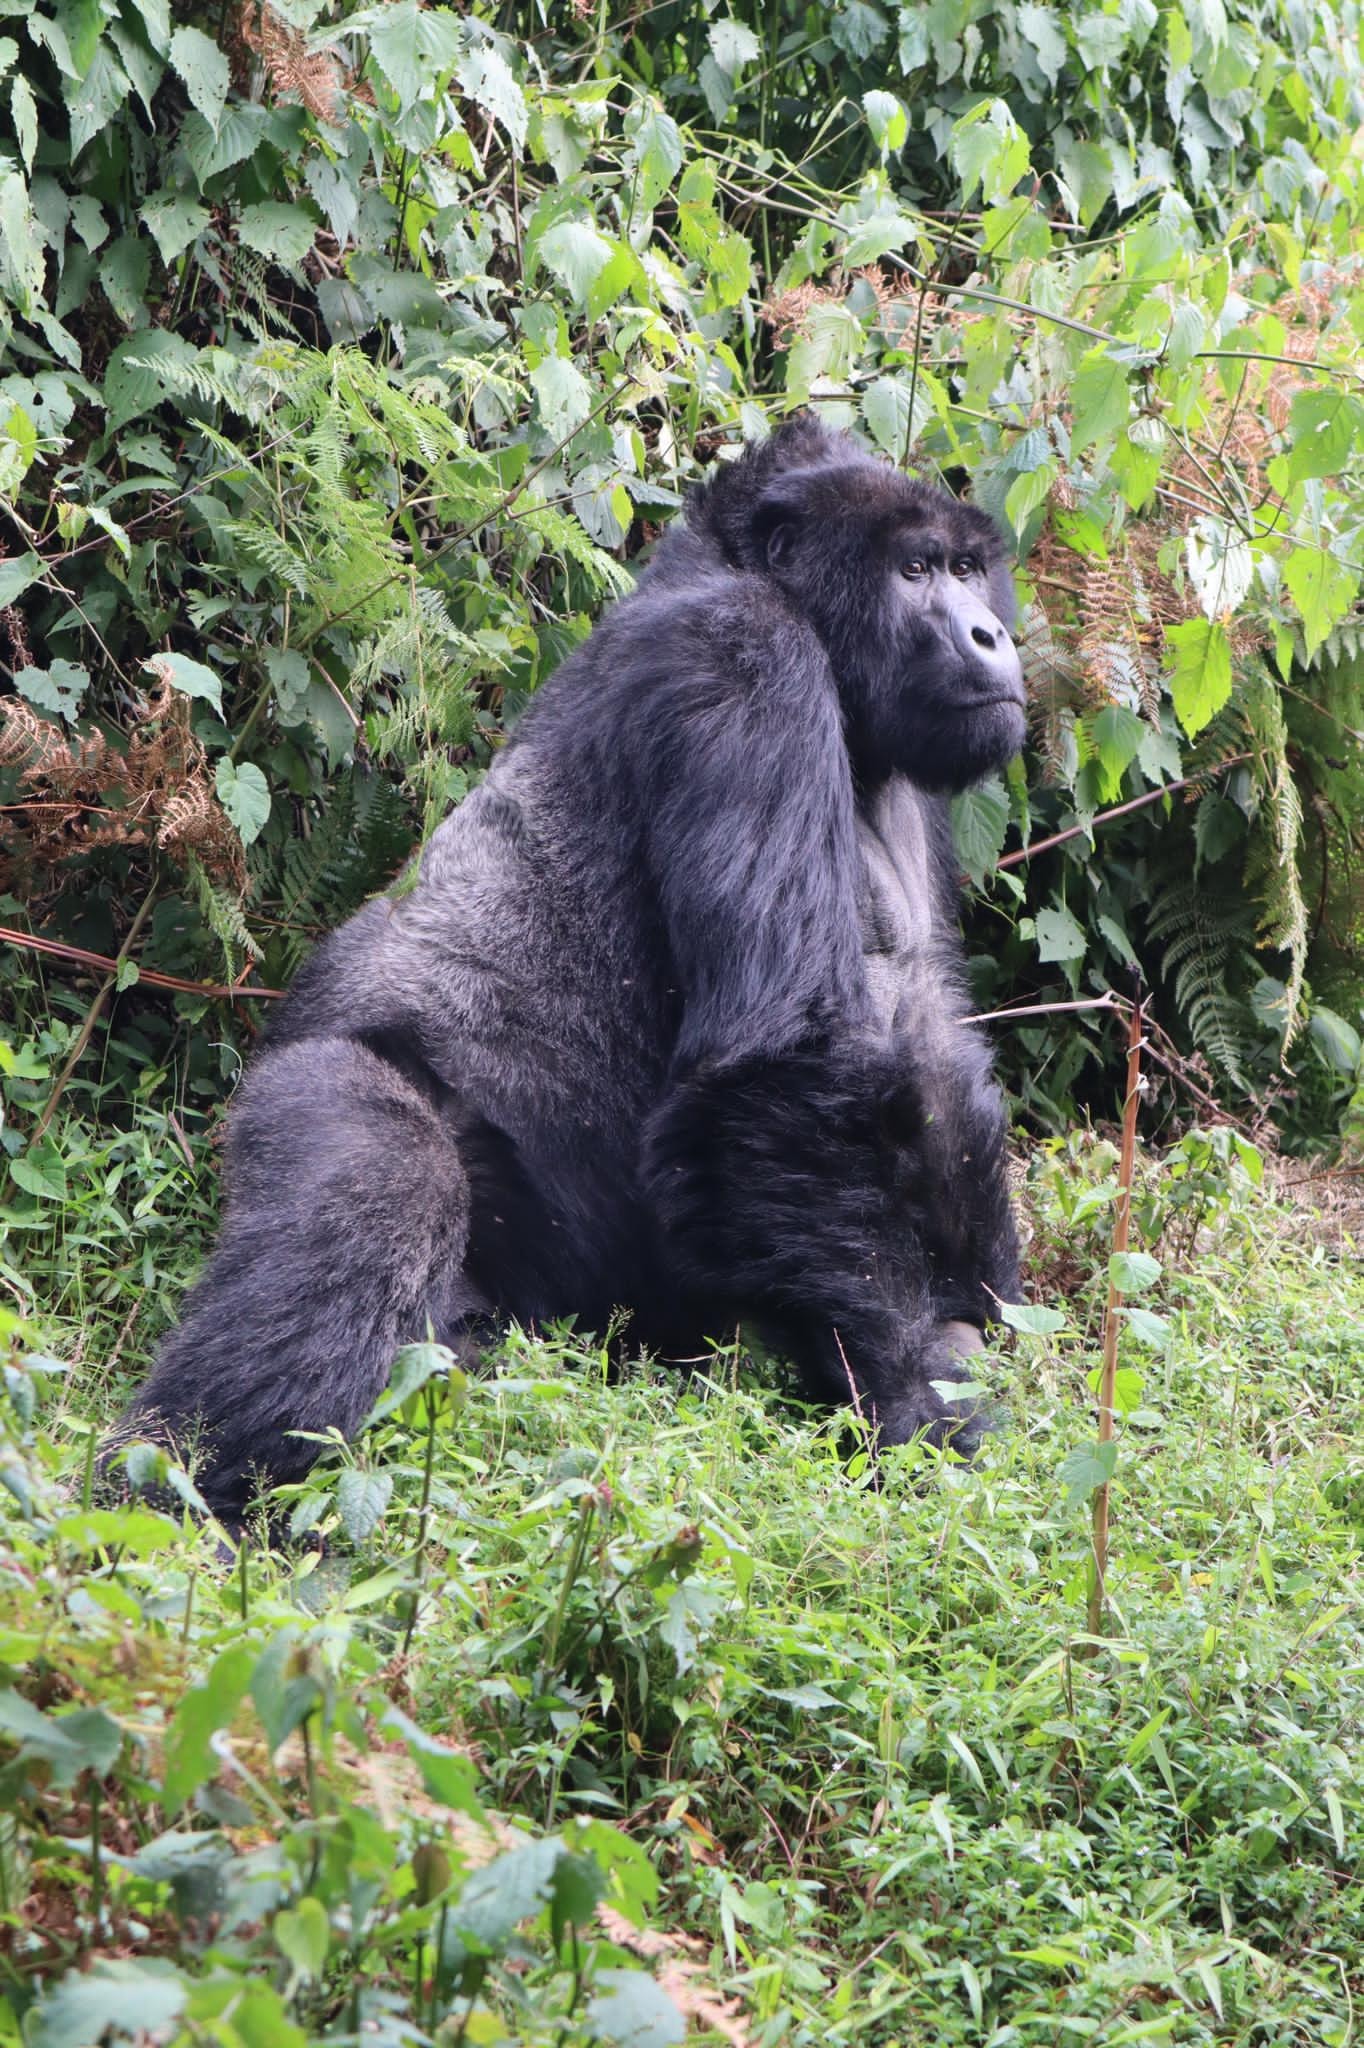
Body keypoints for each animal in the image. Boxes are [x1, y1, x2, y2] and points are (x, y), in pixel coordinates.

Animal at [114, 411, 1019, 1523]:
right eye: (914, 569)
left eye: (970, 570)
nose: (991, 636)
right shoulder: (741, 659)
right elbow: (782, 1055)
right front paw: (916, 1392)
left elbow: (931, 1054)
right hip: (321, 1081)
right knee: (373, 1199)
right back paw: (184, 1494)